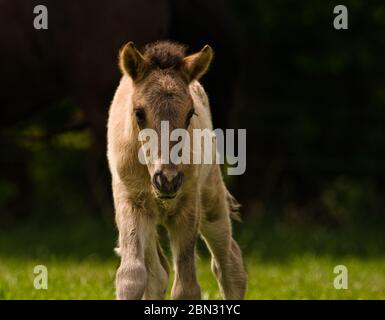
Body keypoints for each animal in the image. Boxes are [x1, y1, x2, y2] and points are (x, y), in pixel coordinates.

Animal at [107, 40, 246, 300]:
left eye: (190, 113)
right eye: (139, 113)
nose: (168, 180)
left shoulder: (188, 205)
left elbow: (186, 288)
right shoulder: (131, 202)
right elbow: (132, 276)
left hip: (211, 198)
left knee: (229, 263)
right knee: (157, 272)